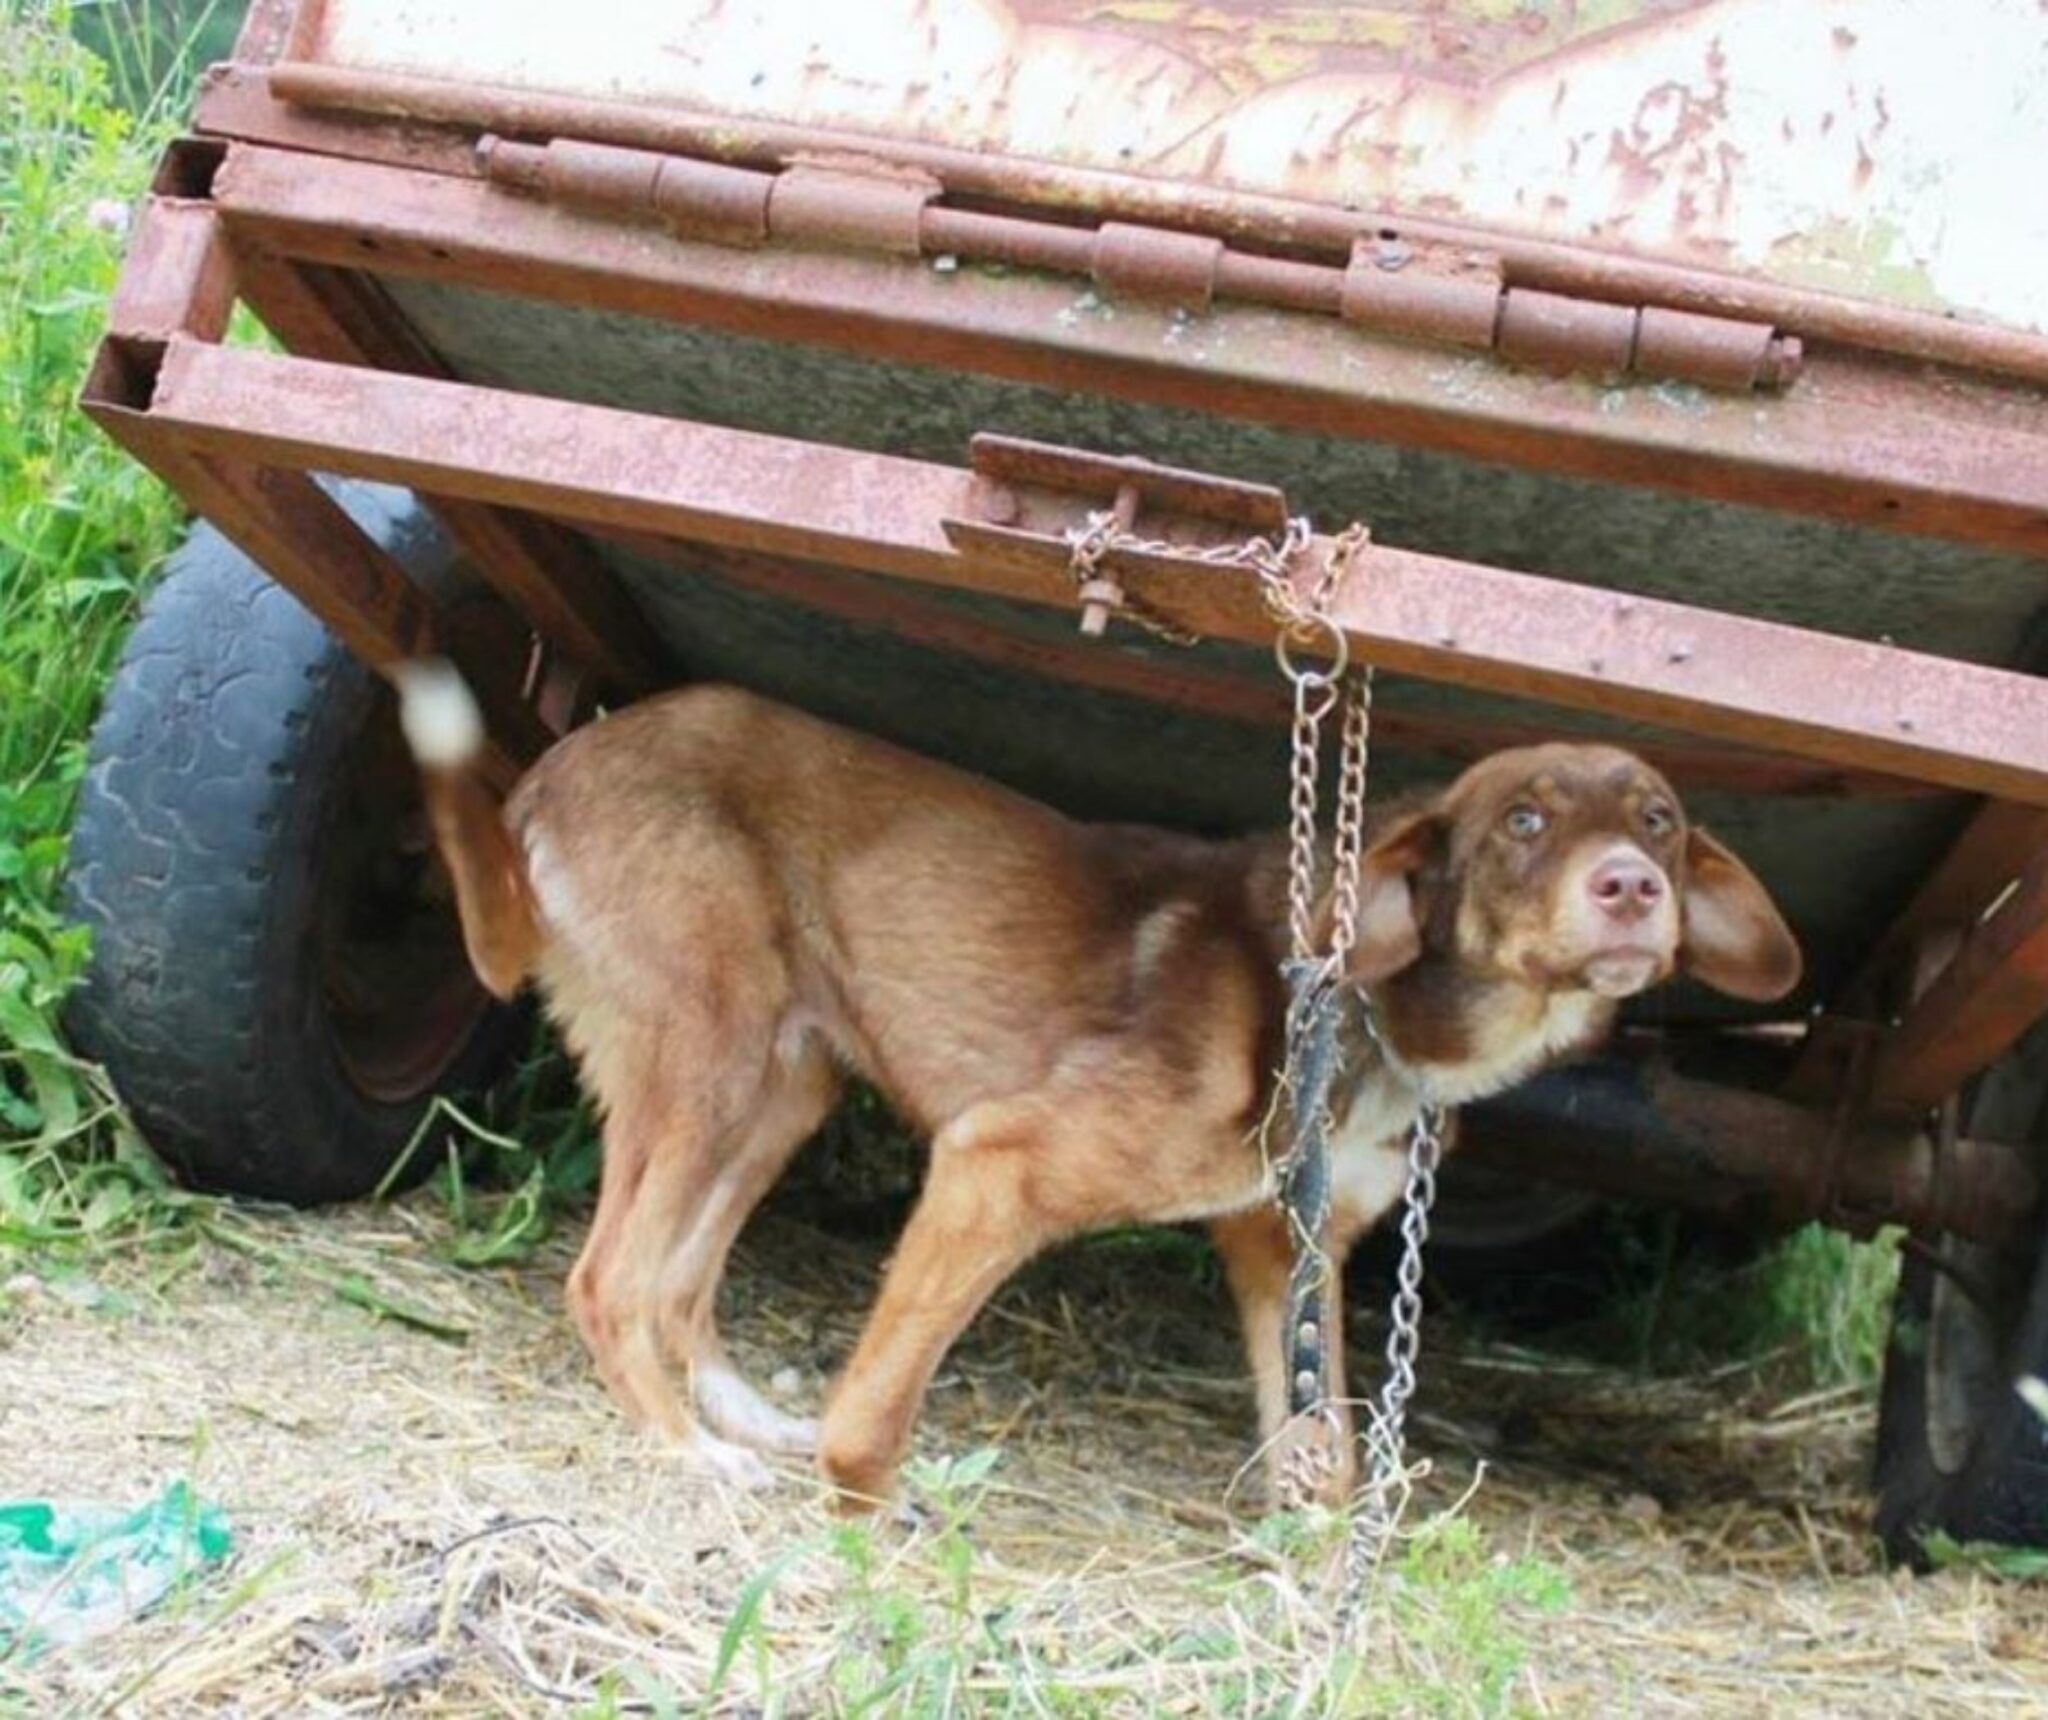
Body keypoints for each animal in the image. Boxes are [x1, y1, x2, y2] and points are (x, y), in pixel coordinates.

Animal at [395, 671, 1794, 1507]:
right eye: (1521, 821)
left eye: (1660, 821)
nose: (1631, 887)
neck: (1363, 1018)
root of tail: (545, 773)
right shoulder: (996, 1163)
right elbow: (880, 1413)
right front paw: (864, 1526)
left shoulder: (1281, 1249)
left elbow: (1320, 1449)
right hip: (711, 1054)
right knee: (609, 1280)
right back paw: (687, 1453)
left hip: (777, 1089)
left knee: (676, 1283)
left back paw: (736, 1422)